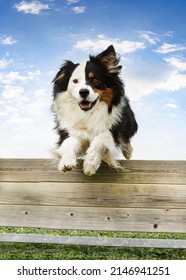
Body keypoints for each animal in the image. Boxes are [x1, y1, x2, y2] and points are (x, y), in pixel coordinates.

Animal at [51, 45, 137, 176]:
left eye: (95, 79)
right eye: (75, 81)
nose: (83, 92)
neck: (89, 113)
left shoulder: (112, 129)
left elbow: (101, 137)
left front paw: (90, 163)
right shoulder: (72, 130)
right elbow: (69, 142)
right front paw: (66, 162)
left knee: (125, 137)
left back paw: (128, 151)